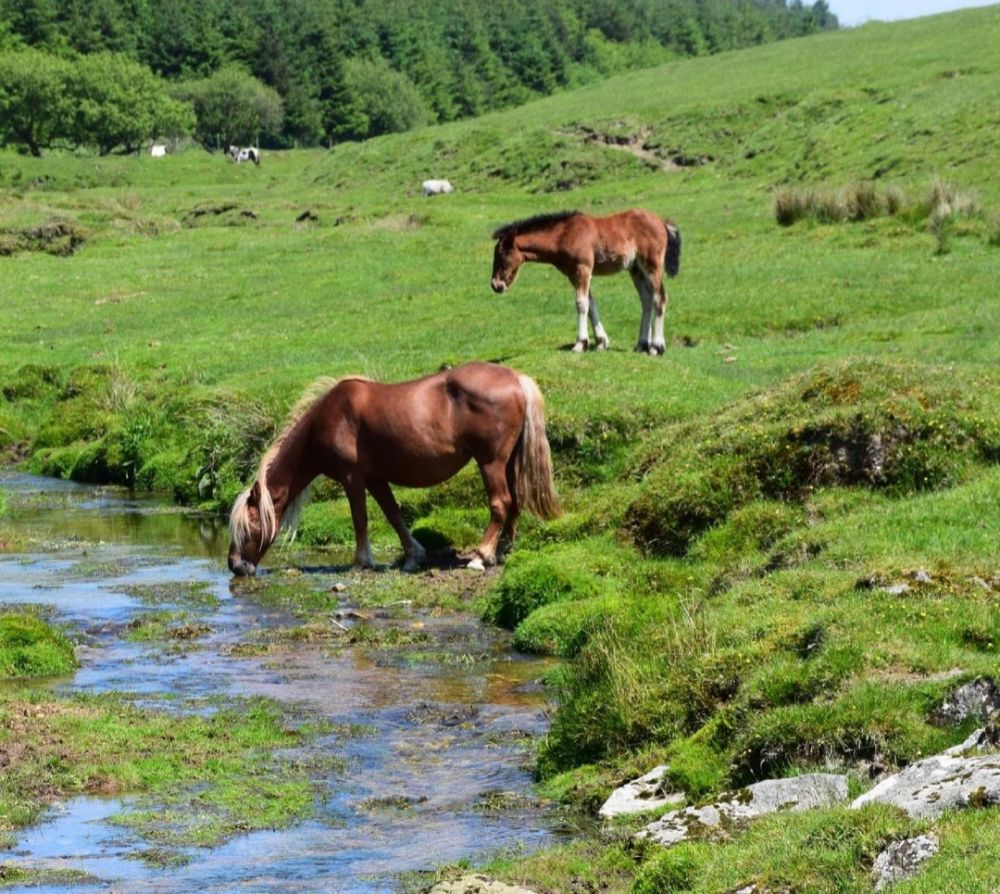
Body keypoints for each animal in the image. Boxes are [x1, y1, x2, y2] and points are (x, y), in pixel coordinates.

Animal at [227, 366, 564, 580]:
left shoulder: (353, 478)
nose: (235, 566)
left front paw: (361, 562)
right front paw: (414, 556)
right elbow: (394, 515)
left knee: (500, 503)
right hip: (508, 461)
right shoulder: (376, 478)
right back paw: (503, 548)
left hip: (490, 461)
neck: (329, 418)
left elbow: (360, 519)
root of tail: (517, 378)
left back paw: (482, 557)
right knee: (516, 500)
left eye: (249, 526)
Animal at [490, 210, 680, 356]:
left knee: (659, 299)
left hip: (652, 266)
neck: (564, 234)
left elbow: (581, 304)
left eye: (501, 254)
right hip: (636, 270)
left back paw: (656, 347)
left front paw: (581, 344)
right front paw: (601, 342)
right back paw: (642, 344)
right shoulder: (573, 274)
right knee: (647, 301)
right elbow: (591, 304)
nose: (495, 285)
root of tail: (662, 222)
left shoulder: (583, 269)